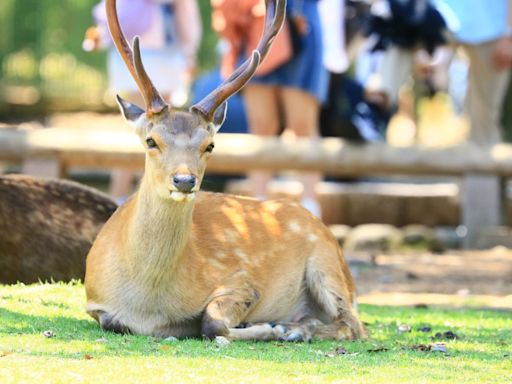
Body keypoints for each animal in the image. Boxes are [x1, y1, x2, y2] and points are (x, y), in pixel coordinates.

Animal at [85, 0, 364, 342]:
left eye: (210, 145)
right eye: (151, 140)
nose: (184, 180)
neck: (147, 306)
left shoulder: (242, 281)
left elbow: (212, 322)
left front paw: (267, 327)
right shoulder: (94, 300)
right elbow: (112, 321)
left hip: (326, 262)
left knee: (352, 324)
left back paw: (293, 329)